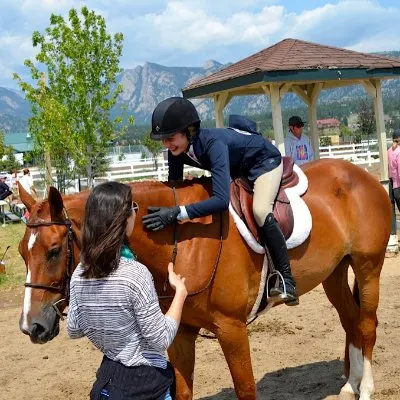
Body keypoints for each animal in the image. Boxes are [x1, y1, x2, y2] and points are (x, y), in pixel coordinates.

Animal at [18, 159, 390, 400]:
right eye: (23, 252)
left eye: (54, 251)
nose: (31, 326)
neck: (181, 240)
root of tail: (362, 175)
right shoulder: (181, 332)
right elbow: (183, 391)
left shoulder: (231, 329)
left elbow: (245, 389)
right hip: (335, 272)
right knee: (351, 321)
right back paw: (350, 385)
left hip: (368, 266)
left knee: (367, 324)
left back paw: (367, 389)